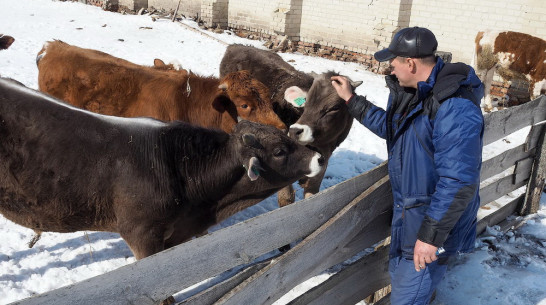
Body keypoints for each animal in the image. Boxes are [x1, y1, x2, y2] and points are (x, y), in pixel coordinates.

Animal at [217, 45, 362, 205]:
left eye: (334, 107)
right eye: (306, 101)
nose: (295, 131)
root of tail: (236, 46)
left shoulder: (319, 172)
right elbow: (286, 199)